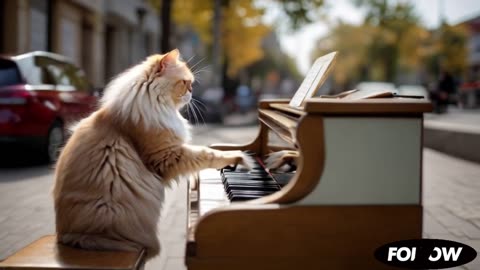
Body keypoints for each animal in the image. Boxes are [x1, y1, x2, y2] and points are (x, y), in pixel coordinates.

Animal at [52, 49, 253, 258]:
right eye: (185, 82)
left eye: (191, 83)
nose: (192, 91)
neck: (154, 105)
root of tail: (67, 237)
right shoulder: (167, 155)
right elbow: (209, 153)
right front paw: (240, 158)